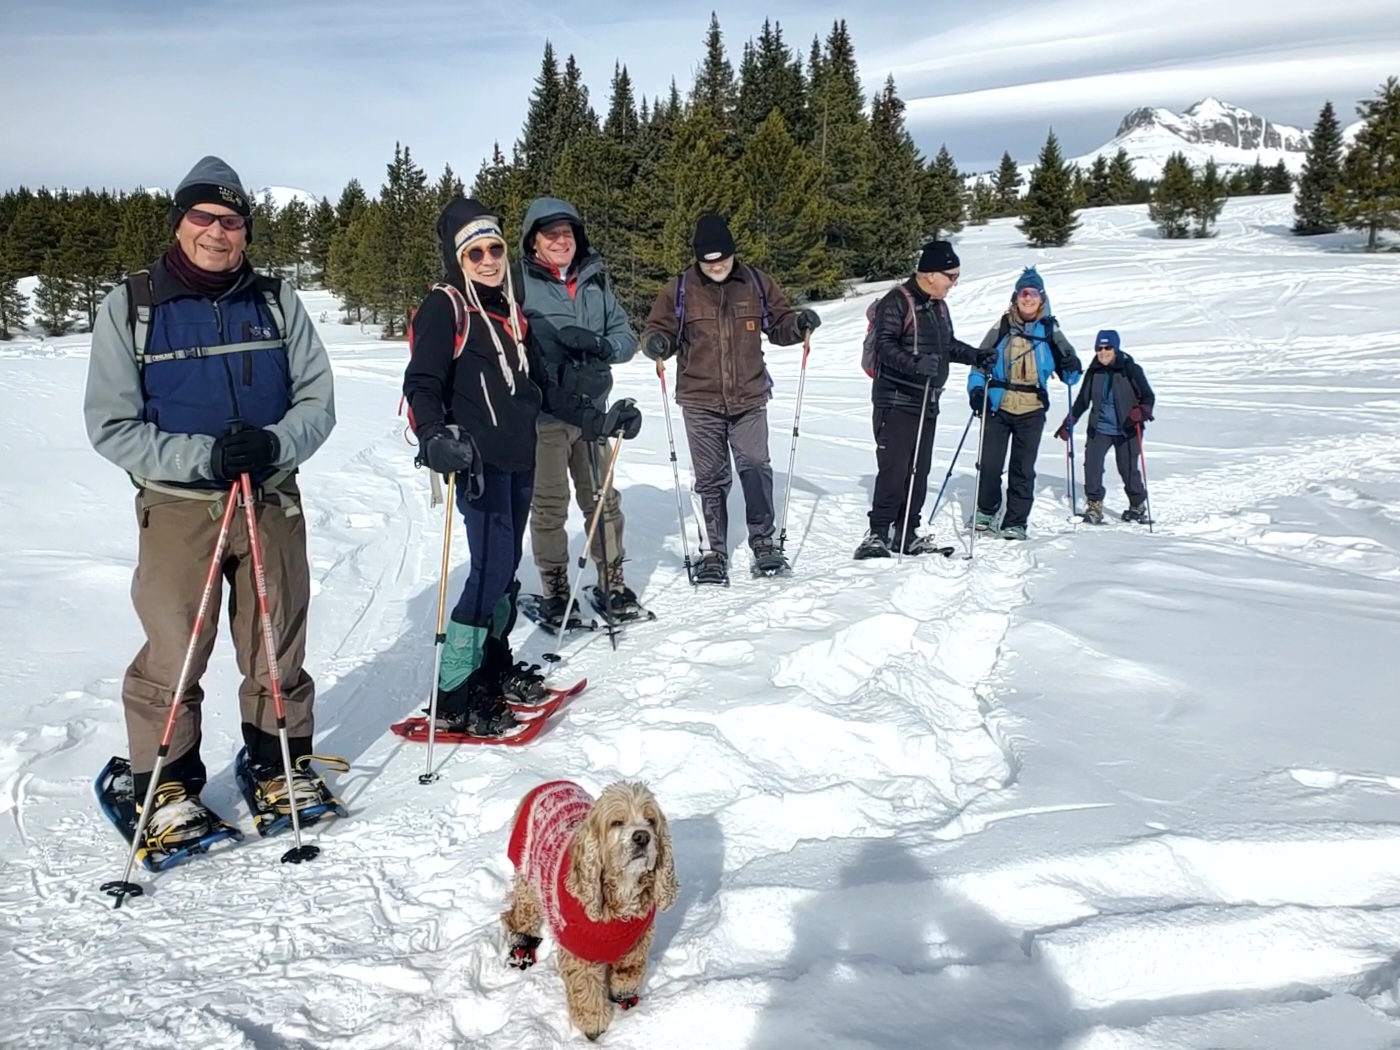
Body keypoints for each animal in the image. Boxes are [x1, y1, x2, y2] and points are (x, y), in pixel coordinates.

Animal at [504, 784, 677, 1047]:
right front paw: (594, 1027)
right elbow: (587, 993)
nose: (642, 836)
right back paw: (521, 950)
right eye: (616, 822)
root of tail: (547, 784)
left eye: (650, 820)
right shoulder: (580, 952)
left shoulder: (636, 944)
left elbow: (628, 975)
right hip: (527, 879)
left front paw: (626, 1001)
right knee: (520, 915)